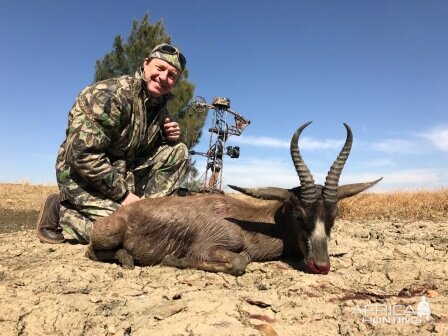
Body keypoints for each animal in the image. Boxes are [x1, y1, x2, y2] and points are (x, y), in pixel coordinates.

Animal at [86, 122, 380, 274]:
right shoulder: (209, 248)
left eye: (333, 217)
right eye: (299, 215)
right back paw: (126, 259)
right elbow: (240, 261)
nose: (321, 265)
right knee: (91, 251)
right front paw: (173, 260)